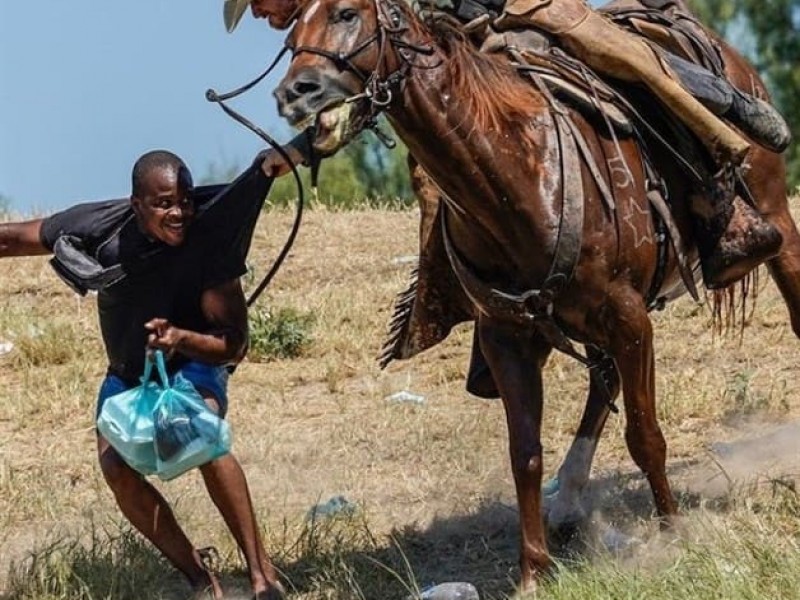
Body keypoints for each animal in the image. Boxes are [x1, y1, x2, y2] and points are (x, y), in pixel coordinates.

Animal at [272, 0, 796, 592]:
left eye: (346, 14)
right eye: (292, 33)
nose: (295, 93)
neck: (515, 171)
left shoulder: (629, 316)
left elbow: (645, 435)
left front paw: (673, 534)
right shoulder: (508, 336)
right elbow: (524, 454)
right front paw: (532, 572)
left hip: (775, 219)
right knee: (601, 381)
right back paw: (568, 501)